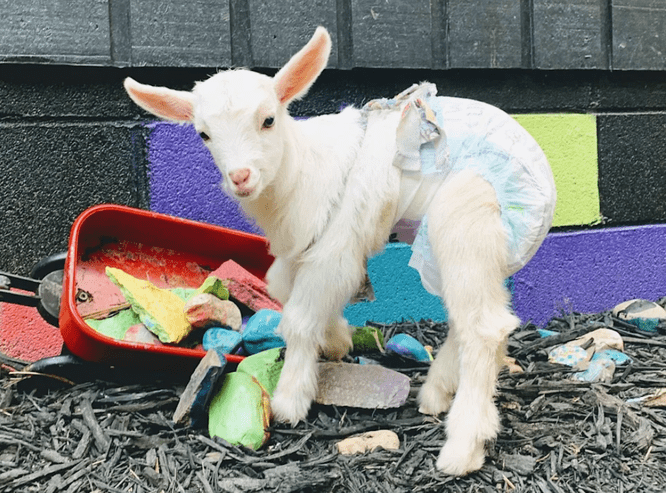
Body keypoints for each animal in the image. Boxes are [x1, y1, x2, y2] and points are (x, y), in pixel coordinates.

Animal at [123, 27, 556, 476]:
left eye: (268, 119)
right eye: (203, 134)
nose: (241, 177)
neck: (296, 173)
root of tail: (547, 187)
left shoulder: (334, 247)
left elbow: (299, 318)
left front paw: (290, 401)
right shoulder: (301, 249)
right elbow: (281, 287)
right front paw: (335, 340)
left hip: (465, 223)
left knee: (483, 327)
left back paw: (463, 448)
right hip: (485, 249)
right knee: (480, 318)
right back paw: (437, 394)